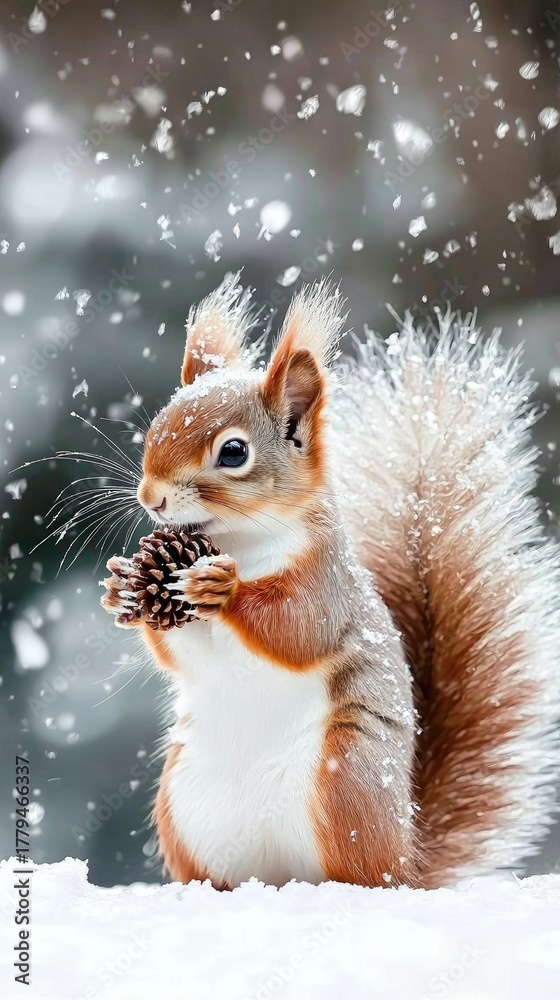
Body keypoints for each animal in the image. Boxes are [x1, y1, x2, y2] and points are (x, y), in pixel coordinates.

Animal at [101, 272, 560, 890]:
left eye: (233, 452)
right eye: (155, 428)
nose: (151, 498)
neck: (238, 547)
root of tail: (409, 855)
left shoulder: (326, 586)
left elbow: (298, 629)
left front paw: (225, 591)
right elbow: (181, 652)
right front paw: (125, 587)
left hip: (346, 785)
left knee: (362, 873)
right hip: (184, 807)